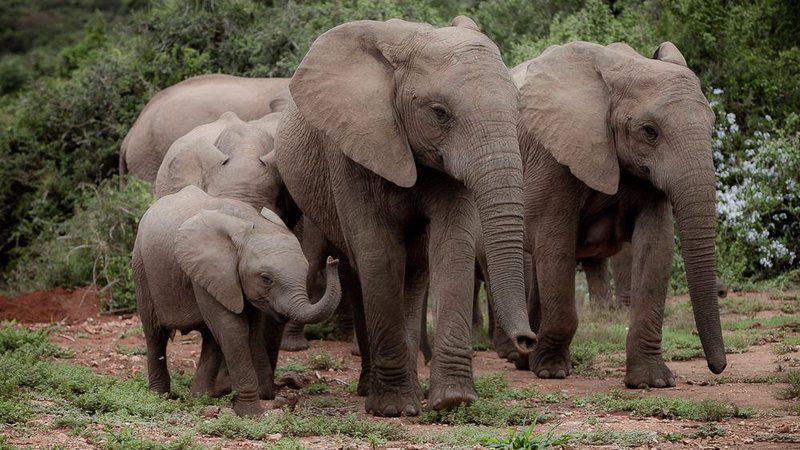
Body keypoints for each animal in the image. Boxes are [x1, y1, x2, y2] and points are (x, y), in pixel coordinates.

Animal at [133, 185, 340, 414]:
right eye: (266, 278)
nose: (333, 261)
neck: (251, 224)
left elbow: (249, 330)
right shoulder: (208, 272)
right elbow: (233, 330)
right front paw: (251, 413)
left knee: (211, 338)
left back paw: (200, 398)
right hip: (141, 268)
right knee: (155, 335)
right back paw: (160, 395)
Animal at [276, 17, 536, 418]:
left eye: (517, 108)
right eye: (440, 112)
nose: (527, 341)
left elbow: (453, 246)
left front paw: (454, 401)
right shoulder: (353, 147)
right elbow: (380, 253)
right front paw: (395, 408)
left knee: (412, 272)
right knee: (358, 269)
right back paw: (371, 389)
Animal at [510, 40, 728, 388]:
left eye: (712, 125)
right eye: (649, 131)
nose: (717, 368)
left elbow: (656, 246)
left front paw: (651, 382)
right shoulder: (552, 152)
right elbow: (555, 241)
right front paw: (551, 371)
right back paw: (525, 359)